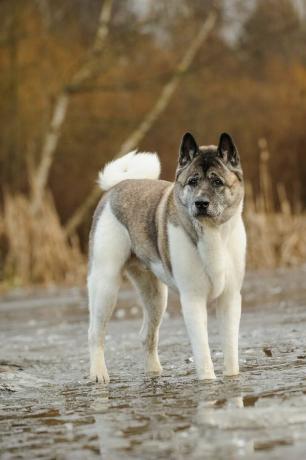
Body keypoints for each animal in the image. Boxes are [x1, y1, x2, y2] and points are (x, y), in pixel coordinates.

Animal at [88, 134, 246, 384]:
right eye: (192, 181)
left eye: (217, 182)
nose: (201, 203)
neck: (212, 233)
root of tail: (117, 186)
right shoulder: (192, 301)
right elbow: (203, 353)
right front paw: (208, 382)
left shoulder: (229, 300)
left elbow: (230, 351)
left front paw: (232, 380)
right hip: (106, 285)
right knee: (95, 333)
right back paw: (99, 374)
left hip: (156, 297)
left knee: (147, 335)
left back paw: (154, 373)